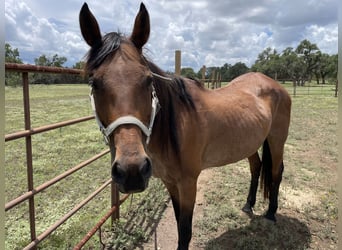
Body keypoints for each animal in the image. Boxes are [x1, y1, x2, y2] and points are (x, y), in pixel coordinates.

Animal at [79, 2, 292, 249]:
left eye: (148, 80)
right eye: (94, 82)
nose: (131, 171)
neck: (174, 128)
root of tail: (275, 85)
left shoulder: (189, 183)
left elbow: (185, 231)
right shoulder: (171, 182)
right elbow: (178, 219)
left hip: (277, 140)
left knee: (276, 171)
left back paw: (271, 213)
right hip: (249, 142)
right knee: (256, 167)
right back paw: (249, 205)